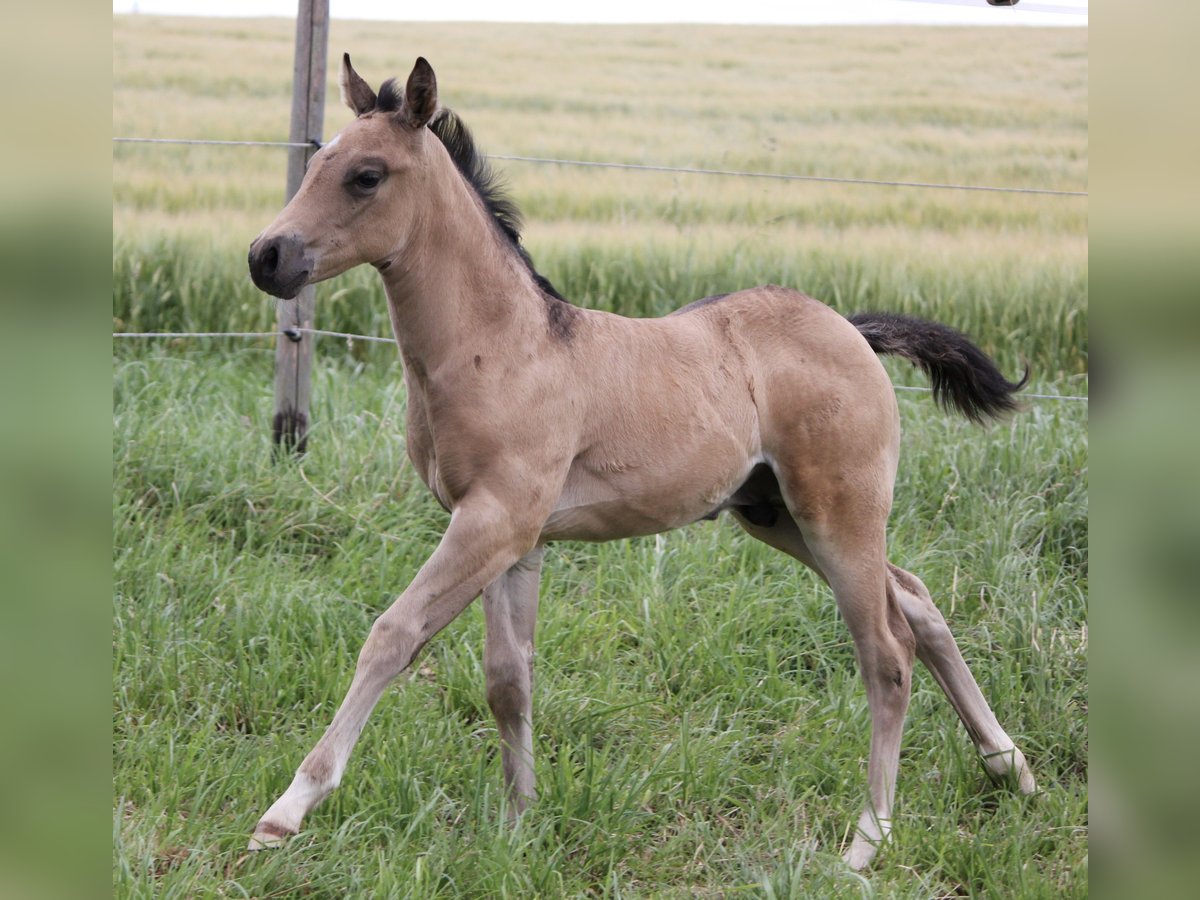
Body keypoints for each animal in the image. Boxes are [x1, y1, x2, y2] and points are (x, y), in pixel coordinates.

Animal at [246, 52, 1041, 868]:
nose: (265, 257)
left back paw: (866, 840)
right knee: (915, 598)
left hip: (837, 512)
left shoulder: (494, 520)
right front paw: (519, 824)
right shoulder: (512, 536)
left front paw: (287, 810)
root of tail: (851, 328)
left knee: (886, 652)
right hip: (777, 515)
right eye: (318, 161)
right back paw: (1010, 768)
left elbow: (394, 635)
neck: (502, 346)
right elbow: (508, 678)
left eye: (366, 176)